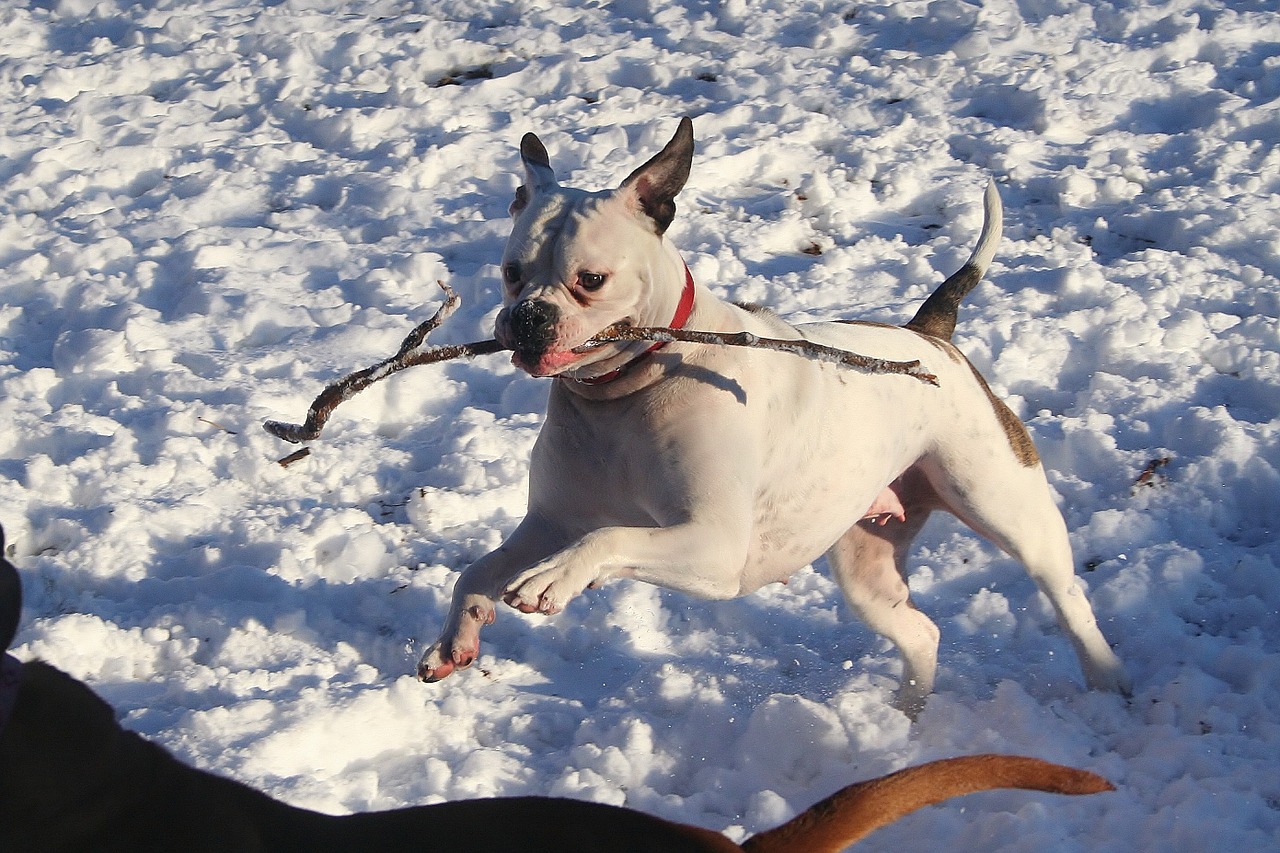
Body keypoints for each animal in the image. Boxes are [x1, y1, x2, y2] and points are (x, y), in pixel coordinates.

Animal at [422, 116, 1131, 706]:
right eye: (512, 272)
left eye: (589, 280)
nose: (527, 318)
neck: (622, 394)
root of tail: (930, 336)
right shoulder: (551, 521)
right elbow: (477, 570)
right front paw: (458, 637)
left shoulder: (714, 547)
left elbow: (609, 537)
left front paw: (556, 579)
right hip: (866, 565)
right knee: (920, 631)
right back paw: (908, 721)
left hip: (1007, 507)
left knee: (1068, 599)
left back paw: (1108, 684)